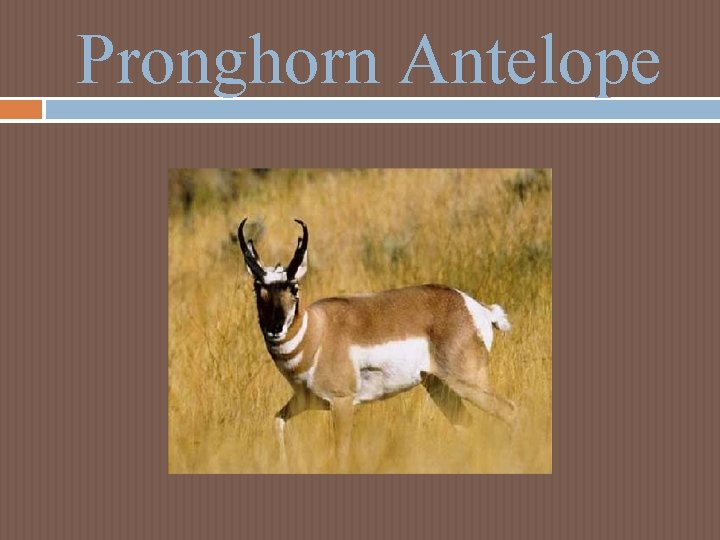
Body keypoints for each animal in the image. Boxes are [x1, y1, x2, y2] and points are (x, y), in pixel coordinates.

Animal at [238, 218, 517, 469]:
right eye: (257, 288)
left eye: (294, 287)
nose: (275, 328)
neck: (317, 331)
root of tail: (476, 308)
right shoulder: (304, 401)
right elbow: (277, 421)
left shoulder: (342, 403)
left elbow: (341, 455)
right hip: (439, 386)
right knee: (467, 426)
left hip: (466, 382)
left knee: (510, 410)